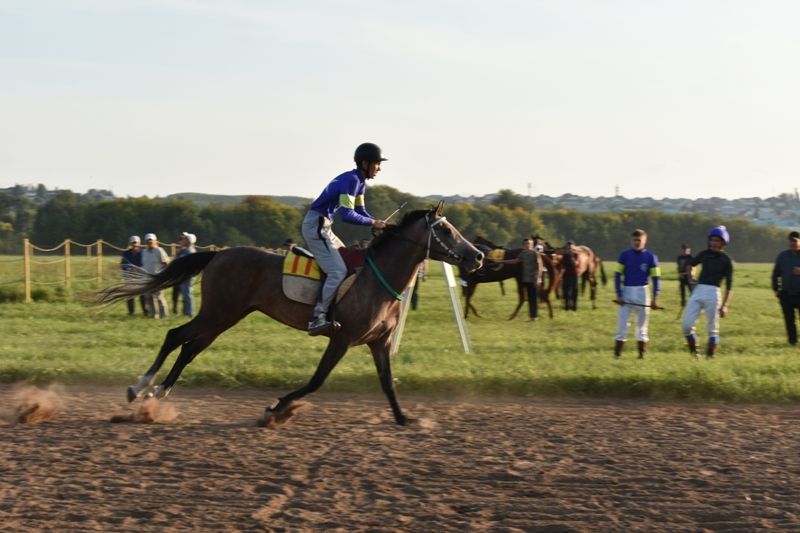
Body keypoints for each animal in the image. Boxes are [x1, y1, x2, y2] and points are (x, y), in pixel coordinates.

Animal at [94, 202, 482, 426]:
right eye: (445, 229)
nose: (477, 256)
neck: (378, 278)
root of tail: (219, 253)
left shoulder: (379, 342)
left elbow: (387, 382)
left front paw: (404, 418)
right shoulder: (342, 337)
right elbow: (316, 381)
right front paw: (277, 408)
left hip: (225, 316)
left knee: (189, 348)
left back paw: (157, 394)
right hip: (219, 312)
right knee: (176, 336)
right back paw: (140, 388)